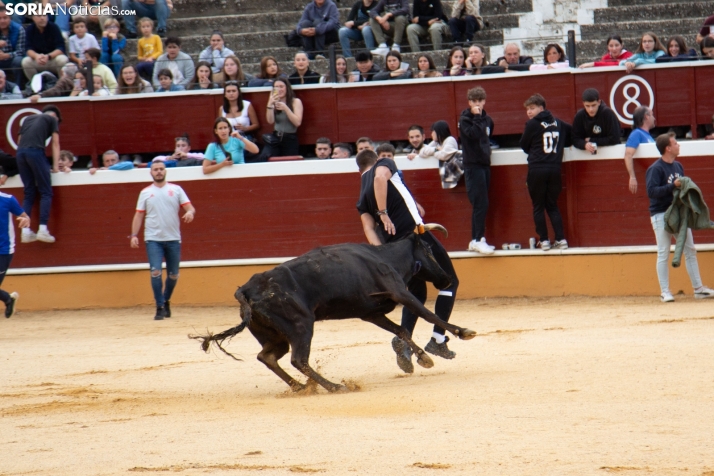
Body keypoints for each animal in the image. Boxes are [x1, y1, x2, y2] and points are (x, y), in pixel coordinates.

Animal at [192, 229, 476, 392]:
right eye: (428, 249)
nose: (446, 280)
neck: (385, 258)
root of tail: (246, 289)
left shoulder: (371, 313)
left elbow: (401, 329)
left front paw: (424, 359)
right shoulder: (399, 292)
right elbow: (428, 314)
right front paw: (463, 332)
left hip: (275, 335)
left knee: (268, 357)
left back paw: (300, 387)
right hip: (301, 326)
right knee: (298, 359)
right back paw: (334, 386)